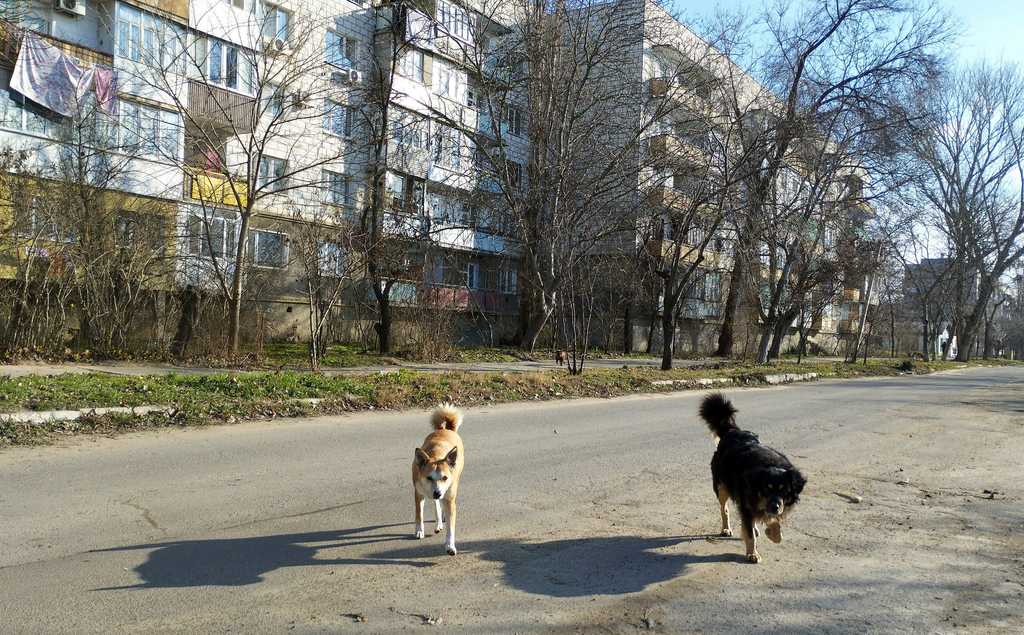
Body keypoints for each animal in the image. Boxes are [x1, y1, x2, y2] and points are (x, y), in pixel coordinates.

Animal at [413, 401, 466, 557]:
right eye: (428, 477)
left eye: (445, 477)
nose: (437, 493)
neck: (436, 455)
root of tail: (446, 429)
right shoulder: (418, 493)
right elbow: (419, 514)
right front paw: (419, 531)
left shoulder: (448, 498)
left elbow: (451, 527)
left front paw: (450, 546)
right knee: (436, 504)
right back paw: (438, 522)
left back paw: (440, 520)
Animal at [700, 395, 802, 561]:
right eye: (766, 489)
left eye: (784, 490)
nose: (775, 507)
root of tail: (732, 431)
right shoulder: (747, 503)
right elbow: (749, 532)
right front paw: (752, 554)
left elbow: (774, 524)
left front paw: (772, 534)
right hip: (721, 486)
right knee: (724, 509)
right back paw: (726, 529)